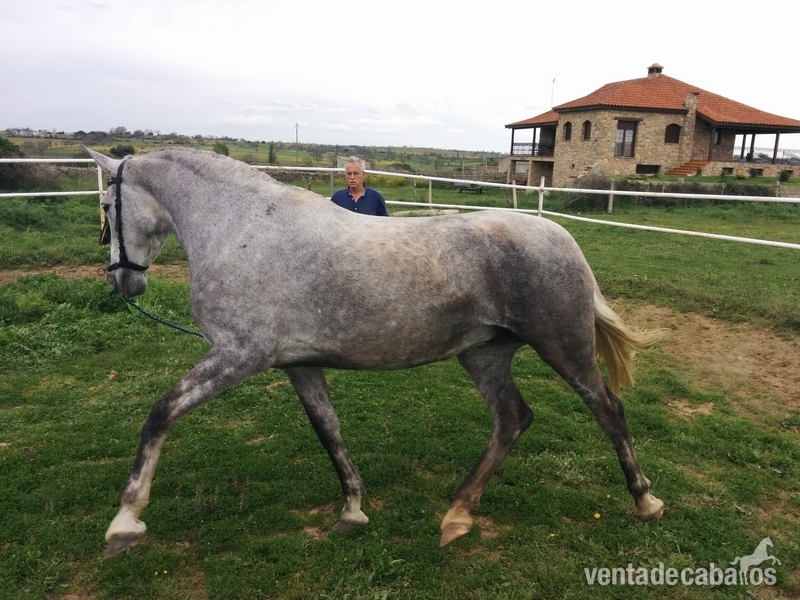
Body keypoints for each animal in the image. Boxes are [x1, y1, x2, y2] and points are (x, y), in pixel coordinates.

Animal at [84, 146, 665, 559]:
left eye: (107, 206)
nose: (123, 282)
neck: (243, 230)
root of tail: (564, 239)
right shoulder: (298, 364)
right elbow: (328, 431)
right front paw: (354, 509)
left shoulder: (238, 355)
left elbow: (160, 413)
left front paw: (124, 523)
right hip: (484, 355)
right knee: (512, 419)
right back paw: (457, 515)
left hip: (564, 348)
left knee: (608, 411)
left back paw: (645, 501)